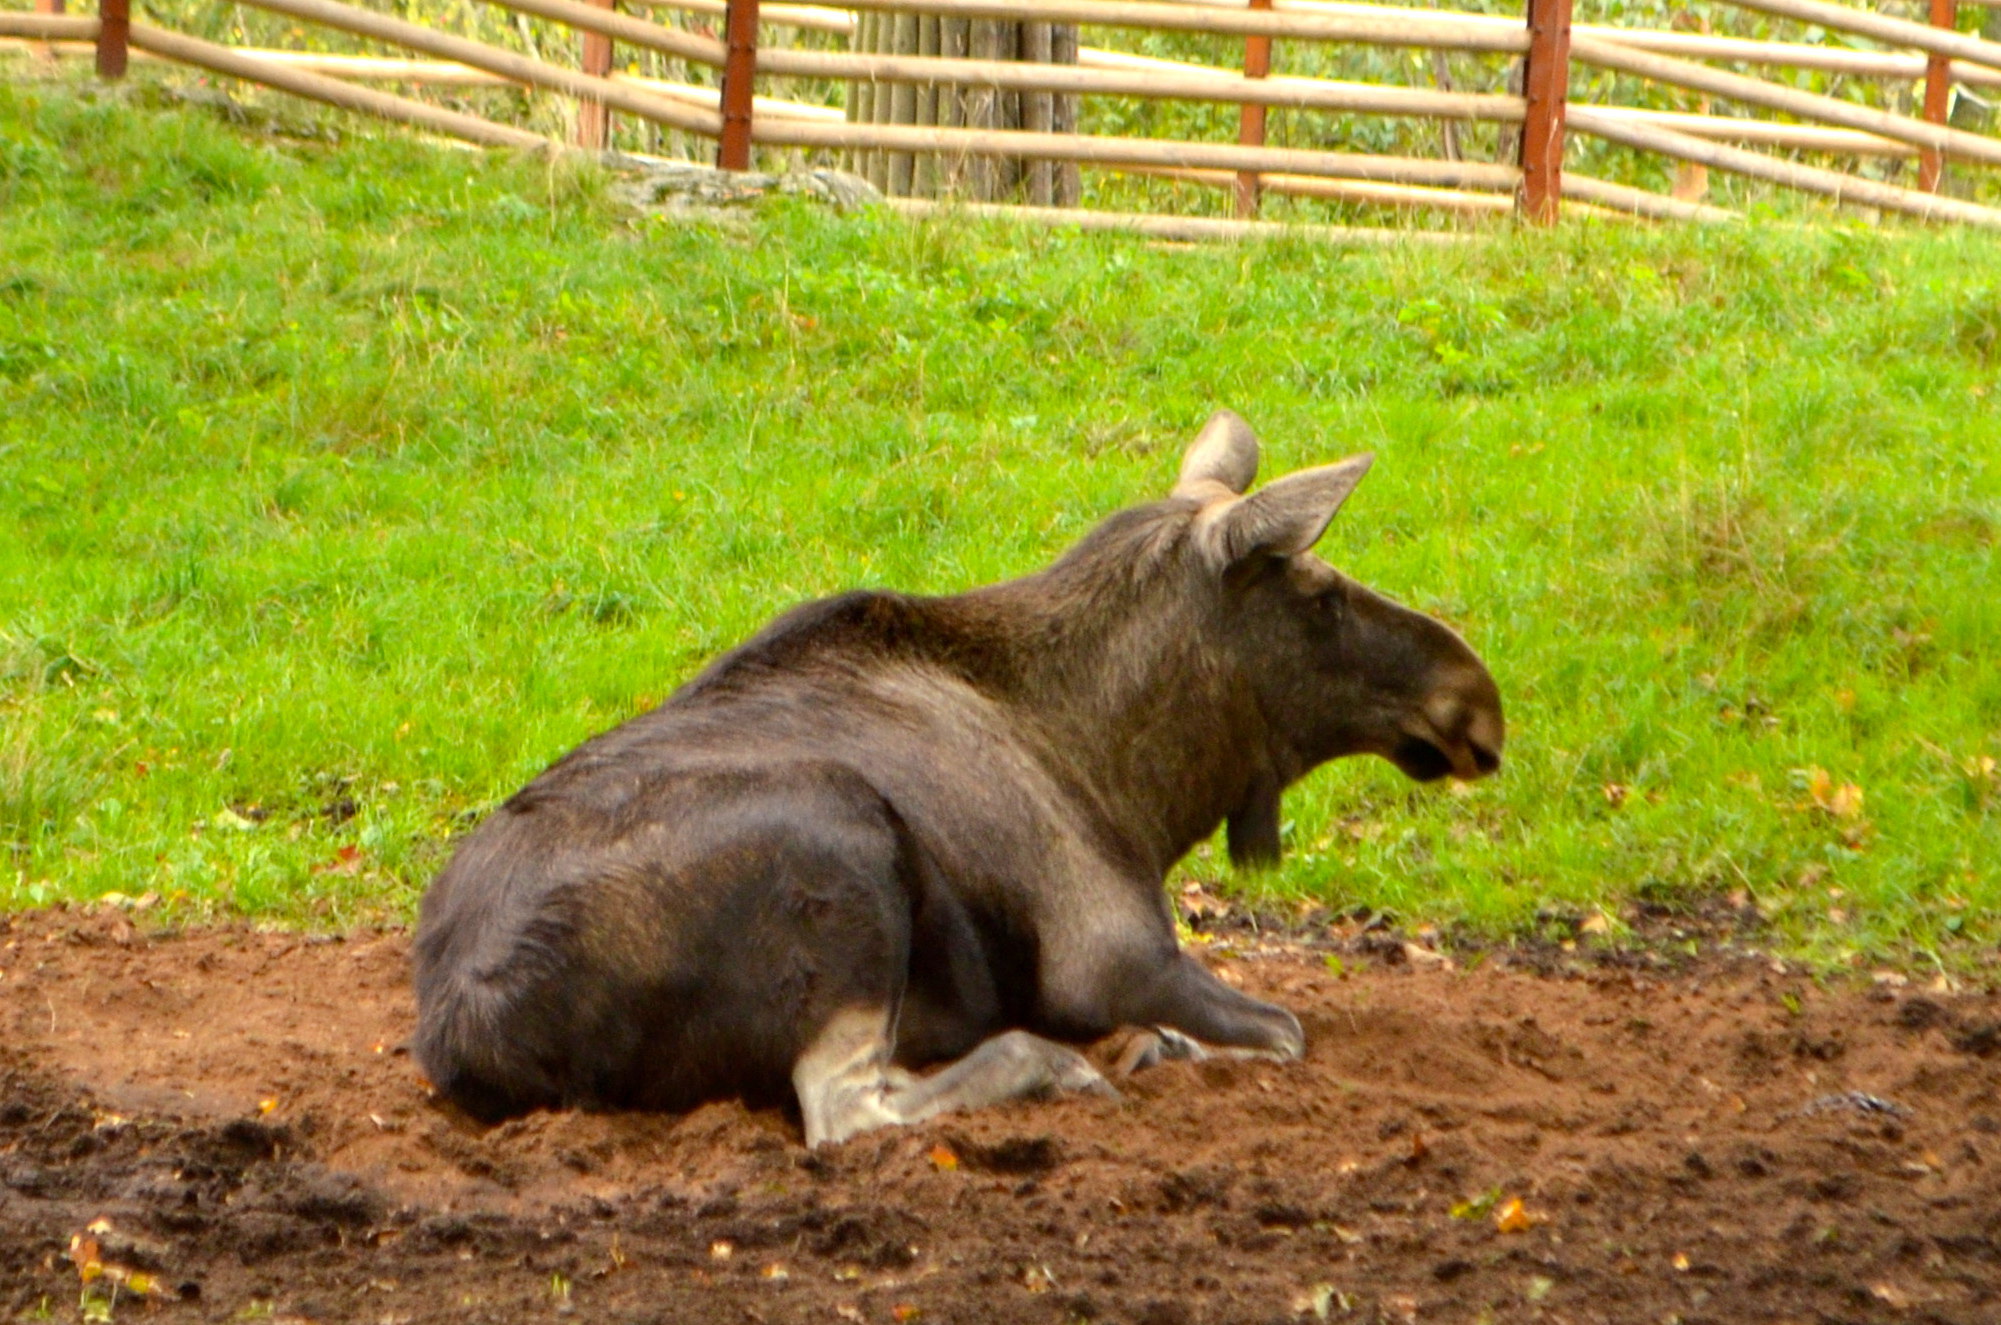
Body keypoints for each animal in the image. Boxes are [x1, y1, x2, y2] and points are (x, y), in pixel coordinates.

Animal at [418, 410, 1504, 1144]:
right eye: (1321, 593)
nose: (1476, 699)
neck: (1137, 788)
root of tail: (471, 1024)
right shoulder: (1117, 954)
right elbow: (1284, 1029)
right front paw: (1140, 1046)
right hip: (841, 842)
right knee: (847, 1109)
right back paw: (1056, 1066)